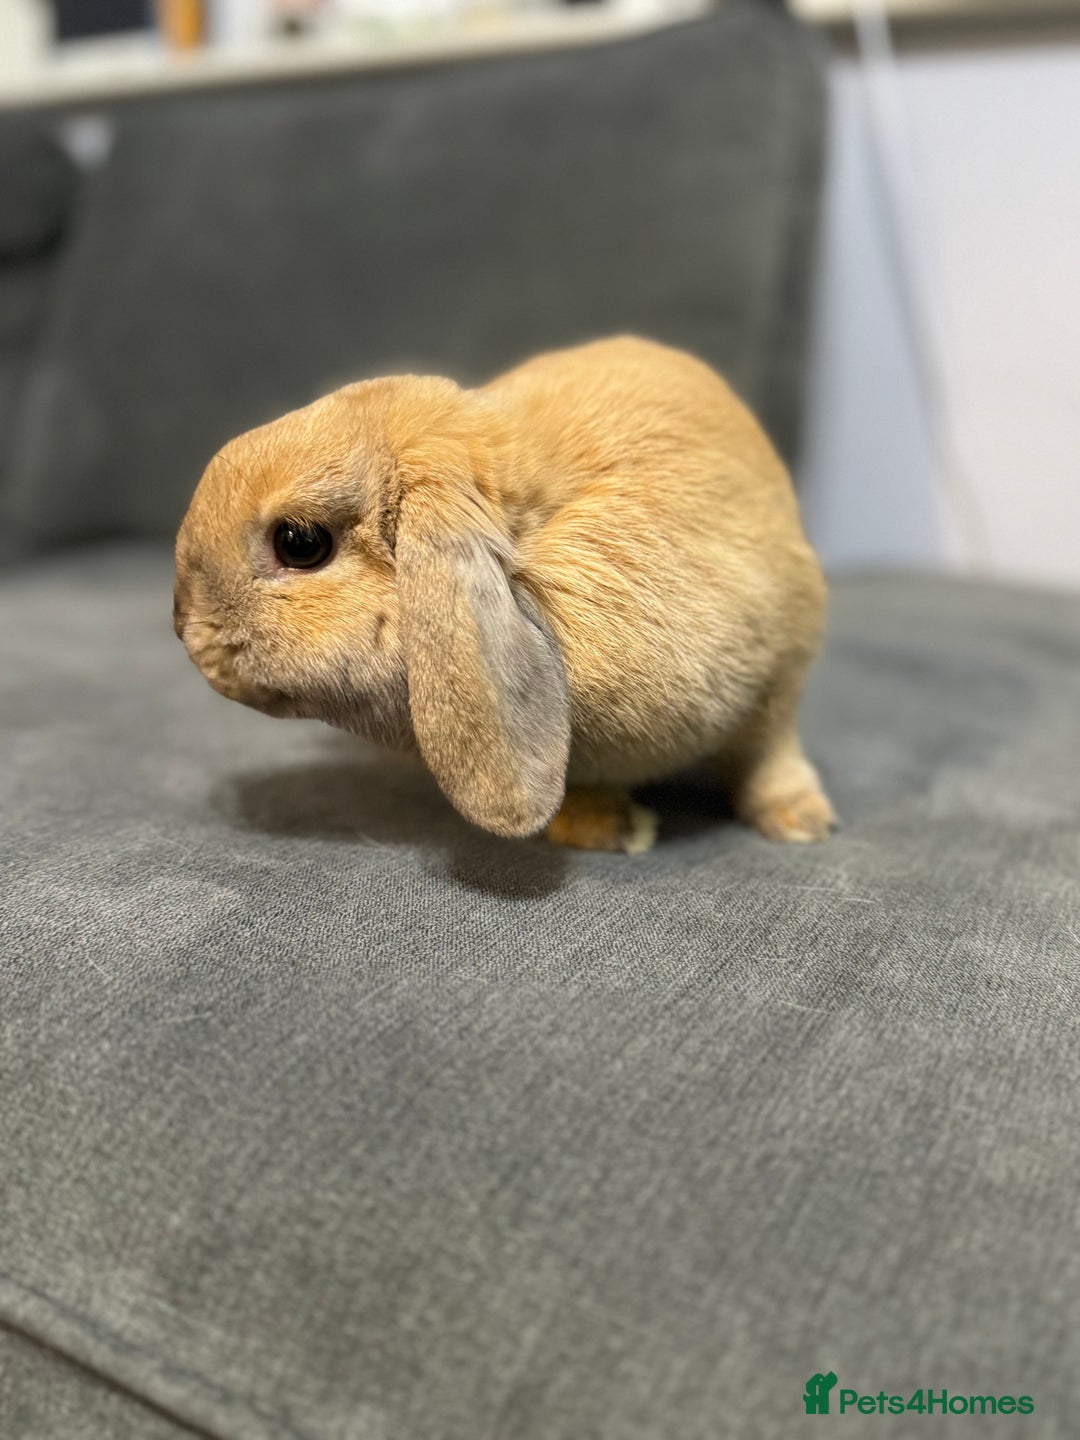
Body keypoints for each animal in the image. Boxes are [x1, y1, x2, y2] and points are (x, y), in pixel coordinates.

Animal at [174, 336, 835, 853]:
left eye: (300, 542)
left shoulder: (780, 677)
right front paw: (612, 830)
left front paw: (803, 824)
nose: (185, 626)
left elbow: (768, 756)